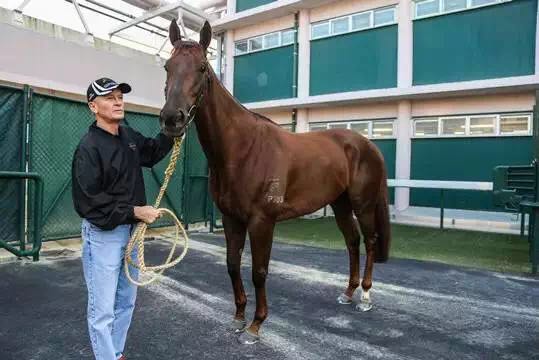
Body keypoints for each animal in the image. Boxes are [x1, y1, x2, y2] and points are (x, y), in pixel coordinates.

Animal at [160, 20, 392, 346]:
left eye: (203, 67)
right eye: (168, 66)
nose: (172, 119)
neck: (242, 148)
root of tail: (368, 144)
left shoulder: (262, 221)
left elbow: (259, 271)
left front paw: (255, 326)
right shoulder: (231, 219)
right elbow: (232, 265)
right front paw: (238, 317)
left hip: (363, 203)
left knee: (369, 242)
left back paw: (366, 297)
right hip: (340, 204)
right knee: (352, 241)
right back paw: (347, 293)